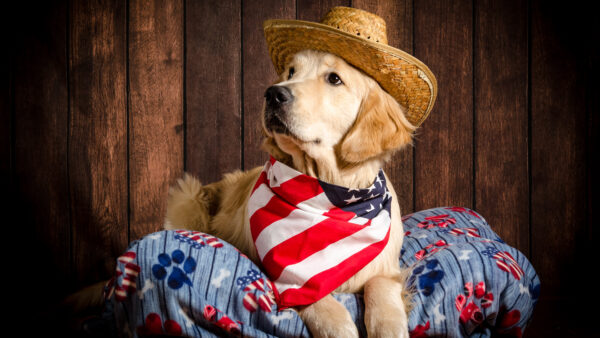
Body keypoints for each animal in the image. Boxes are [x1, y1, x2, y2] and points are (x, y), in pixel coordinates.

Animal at [164, 48, 418, 338]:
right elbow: (318, 302)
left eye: (334, 78)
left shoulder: (387, 270)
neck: (327, 195)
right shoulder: (289, 279)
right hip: (188, 199)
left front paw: (390, 327)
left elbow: (381, 289)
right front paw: (339, 326)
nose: (274, 94)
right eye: (291, 72)